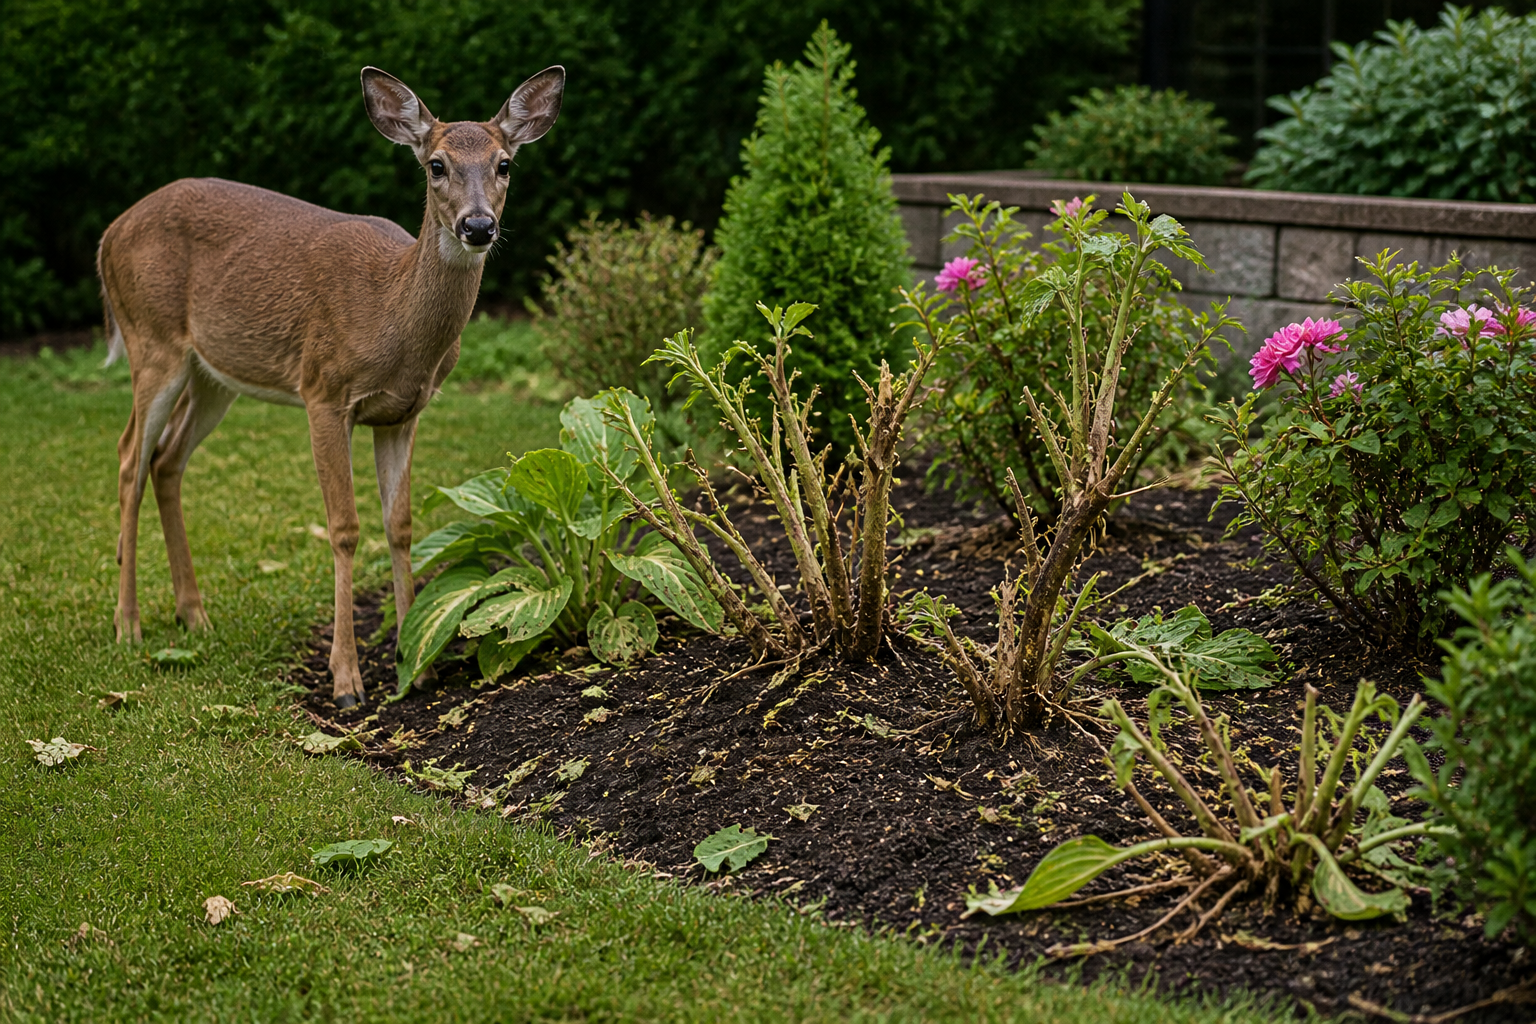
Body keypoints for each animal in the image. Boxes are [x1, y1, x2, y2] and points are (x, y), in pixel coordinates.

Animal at [97, 65, 565, 708]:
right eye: (436, 165)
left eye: (505, 164)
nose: (477, 225)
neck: (390, 316)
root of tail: (108, 235)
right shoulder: (322, 391)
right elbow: (344, 529)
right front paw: (346, 680)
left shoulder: (404, 412)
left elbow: (401, 527)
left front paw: (417, 662)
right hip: (152, 341)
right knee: (128, 458)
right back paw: (129, 625)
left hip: (213, 373)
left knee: (166, 460)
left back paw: (194, 615)